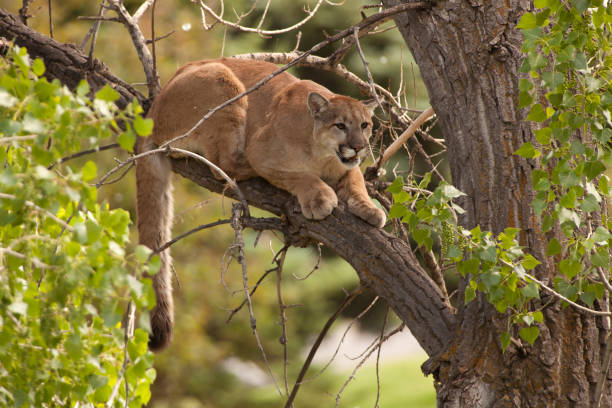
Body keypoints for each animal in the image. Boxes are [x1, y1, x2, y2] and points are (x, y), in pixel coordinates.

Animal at [137, 58, 388, 350]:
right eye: (340, 125)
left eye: (365, 125)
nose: (359, 147)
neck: (323, 154)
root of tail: (152, 112)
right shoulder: (264, 154)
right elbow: (300, 175)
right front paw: (320, 199)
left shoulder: (349, 167)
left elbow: (358, 182)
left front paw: (371, 209)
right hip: (223, 84)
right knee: (223, 165)